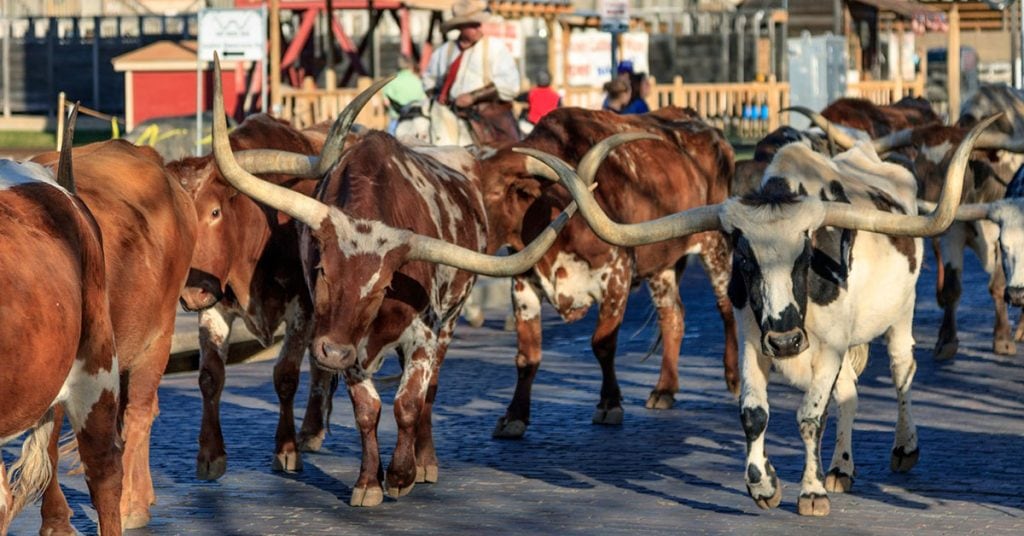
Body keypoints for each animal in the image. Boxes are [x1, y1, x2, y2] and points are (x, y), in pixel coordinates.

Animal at [171, 113, 341, 480]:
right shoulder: (215, 307)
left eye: (215, 212)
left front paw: (286, 450)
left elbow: (286, 376)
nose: (190, 294)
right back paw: (312, 430)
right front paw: (210, 455)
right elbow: (210, 376)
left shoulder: (302, 310)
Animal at [206, 56, 575, 507]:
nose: (330, 353)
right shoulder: (346, 342)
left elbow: (409, 404)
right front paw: (368, 481)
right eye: (323, 271)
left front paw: (401, 474)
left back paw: (426, 460)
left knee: (430, 391)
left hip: (448, 322)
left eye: (384, 287)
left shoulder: (422, 335)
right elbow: (368, 411)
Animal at [477, 106, 739, 438]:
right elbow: (527, 356)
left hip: (715, 246)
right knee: (672, 317)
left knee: (726, 308)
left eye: (494, 193)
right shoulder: (523, 285)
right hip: (662, 265)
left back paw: (733, 377)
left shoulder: (617, 277)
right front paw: (514, 415)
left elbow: (602, 344)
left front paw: (609, 404)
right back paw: (664, 389)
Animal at [522, 115, 995, 515]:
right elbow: (754, 413)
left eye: (805, 255)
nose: (785, 340)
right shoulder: (753, 341)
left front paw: (811, 492)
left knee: (901, 372)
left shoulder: (828, 347)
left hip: (900, 315)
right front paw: (764, 484)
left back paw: (903, 447)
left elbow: (809, 417)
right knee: (849, 395)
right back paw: (840, 467)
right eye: (745, 260)